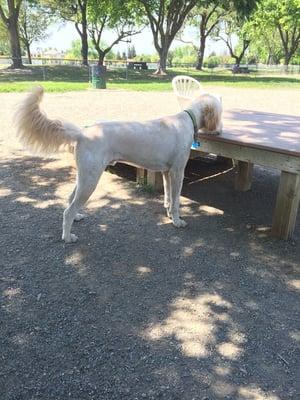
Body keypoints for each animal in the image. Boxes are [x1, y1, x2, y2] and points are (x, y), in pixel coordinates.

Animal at [15, 87, 221, 244]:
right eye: (220, 110)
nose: (219, 131)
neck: (188, 118)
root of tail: (82, 133)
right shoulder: (178, 172)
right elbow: (177, 200)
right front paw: (177, 221)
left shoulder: (166, 172)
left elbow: (169, 198)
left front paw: (170, 215)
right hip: (90, 180)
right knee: (67, 211)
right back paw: (68, 236)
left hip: (84, 176)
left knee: (70, 199)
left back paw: (77, 217)